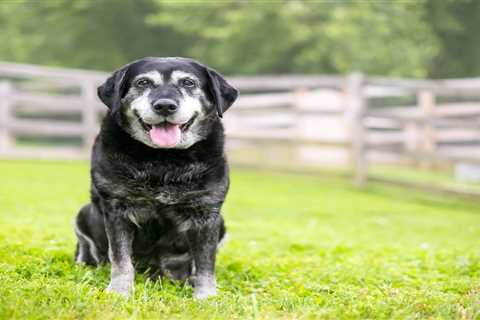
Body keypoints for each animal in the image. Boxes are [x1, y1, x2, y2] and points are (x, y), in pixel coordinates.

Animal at [74, 57, 237, 300]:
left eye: (188, 82)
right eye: (143, 82)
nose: (165, 105)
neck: (164, 160)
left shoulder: (206, 213)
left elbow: (205, 263)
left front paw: (206, 296)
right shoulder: (117, 209)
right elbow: (120, 258)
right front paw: (120, 291)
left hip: (221, 224)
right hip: (84, 213)